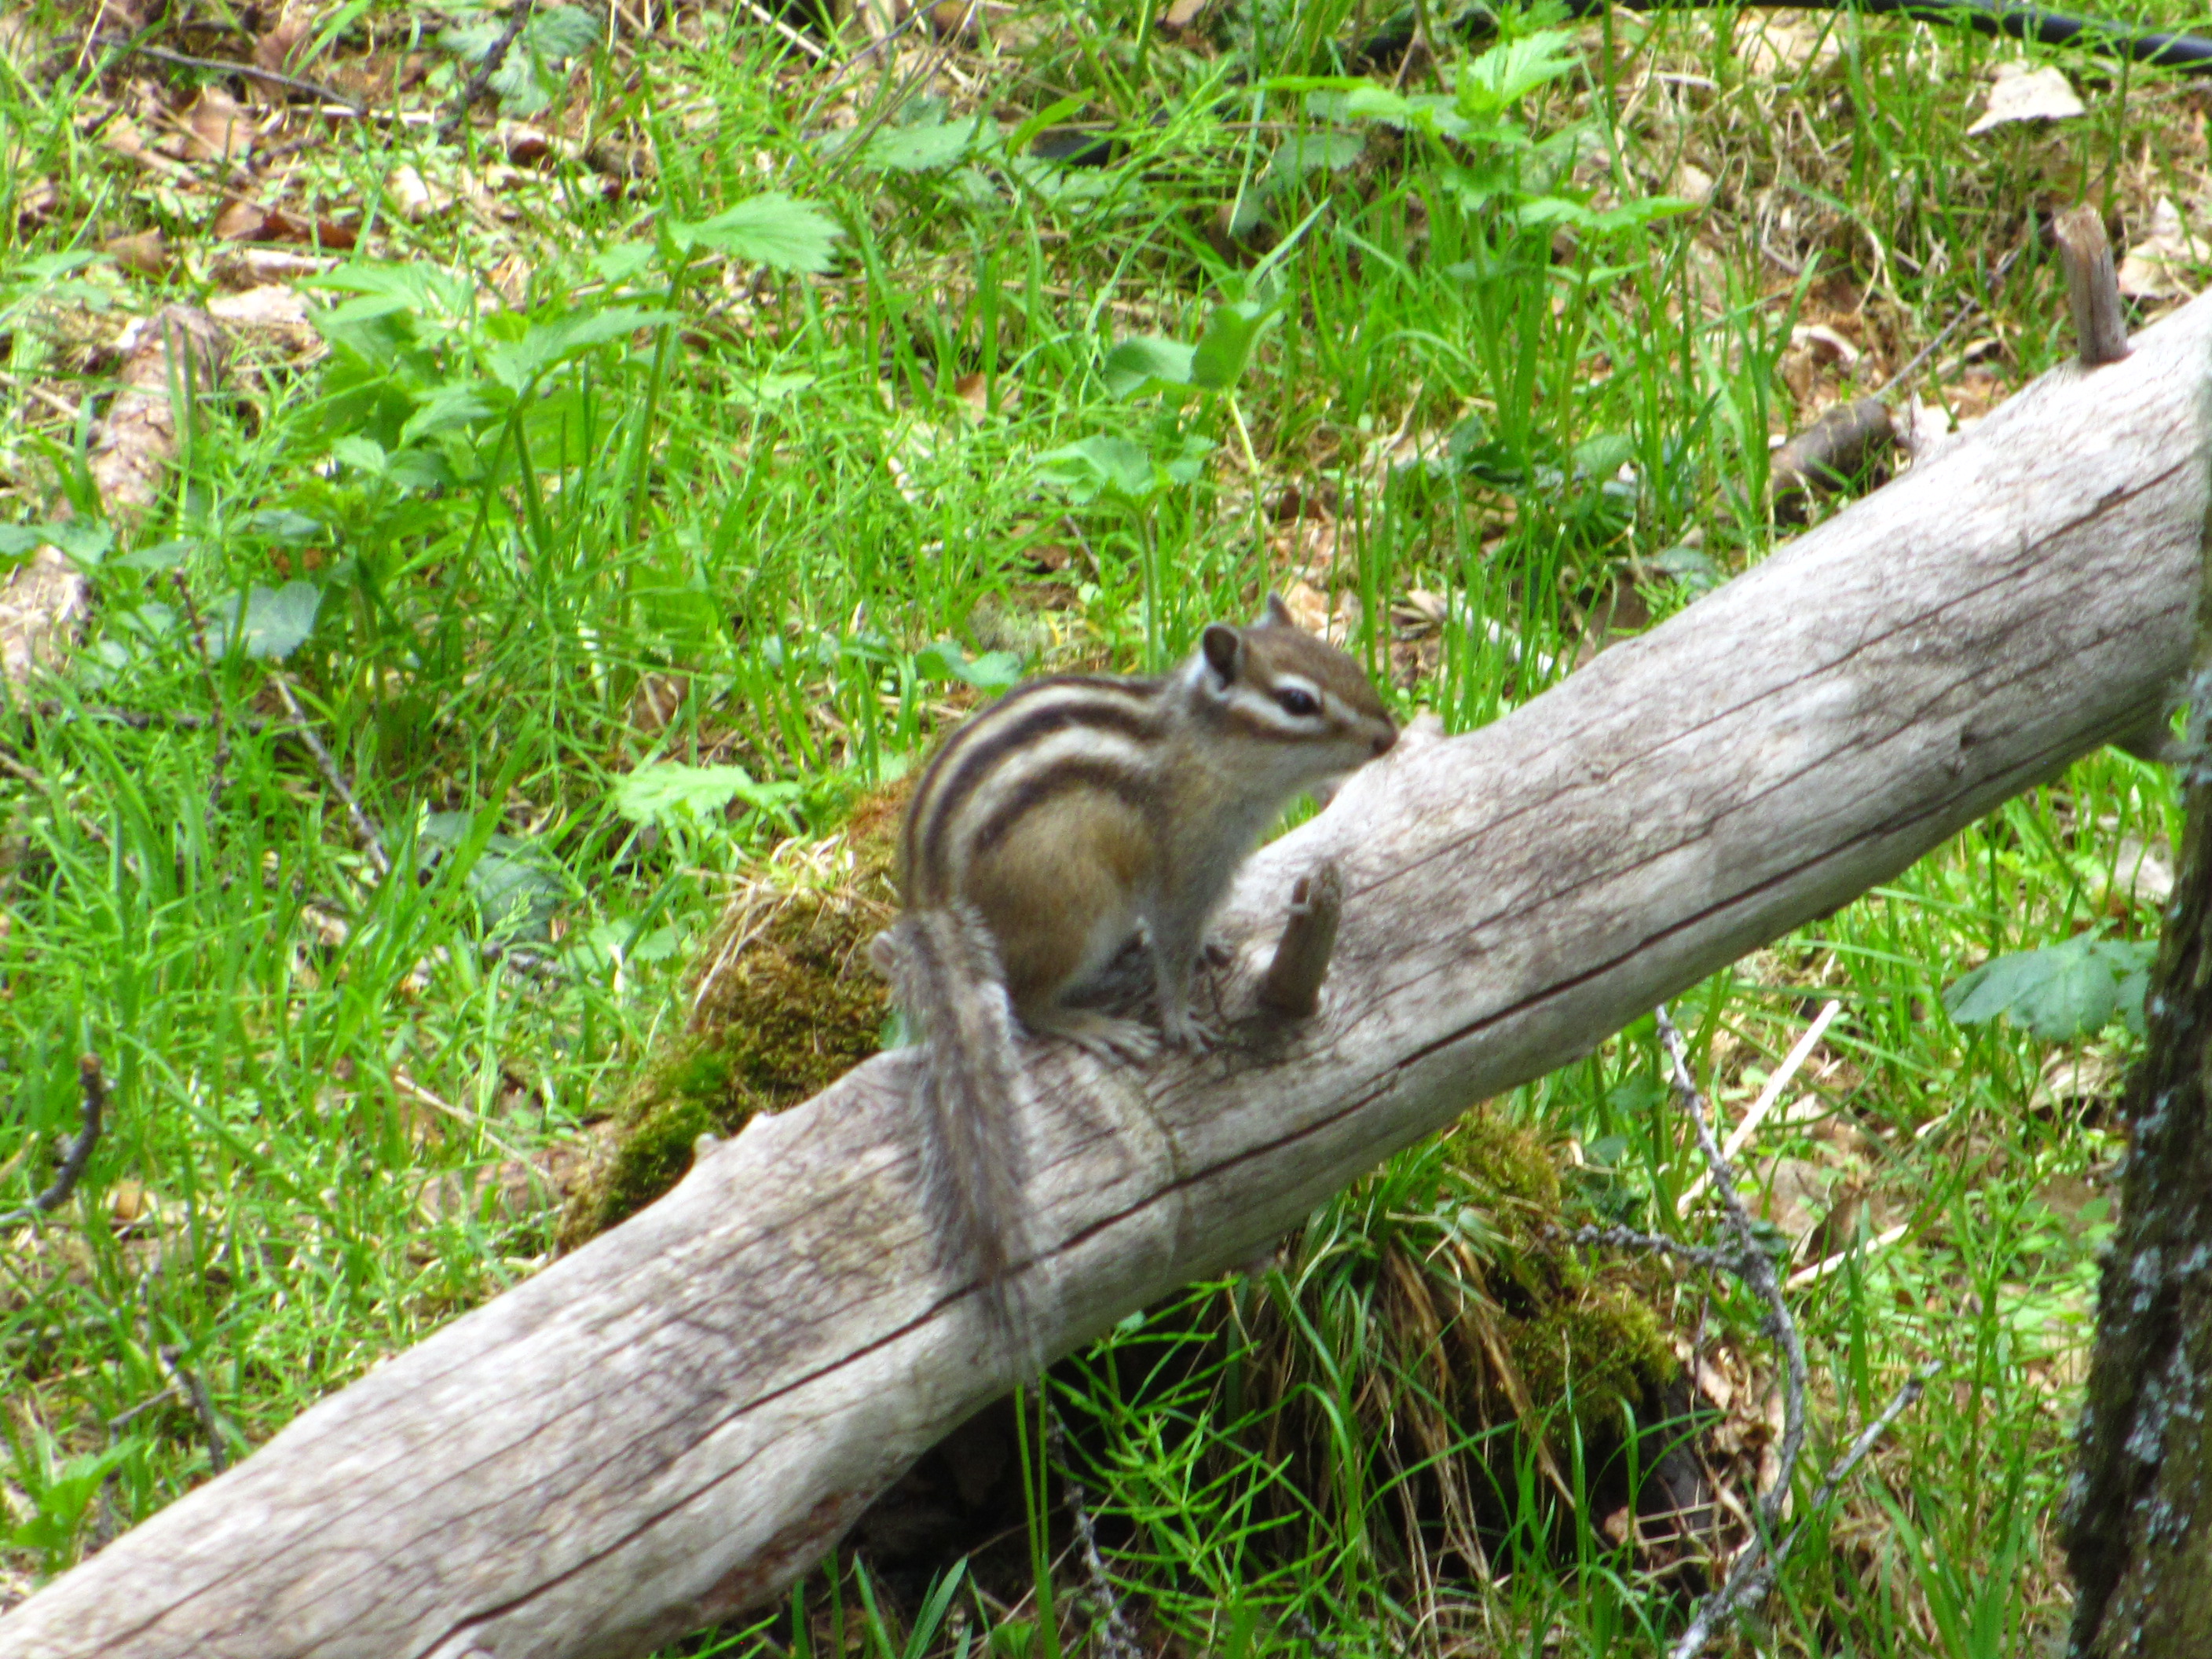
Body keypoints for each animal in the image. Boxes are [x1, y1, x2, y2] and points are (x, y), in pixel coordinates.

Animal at [870, 594, 1398, 1365]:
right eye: (1298, 702)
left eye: (1349, 662)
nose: (1389, 736)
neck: (1202, 750)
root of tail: (932, 905)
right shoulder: (1187, 866)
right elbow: (1172, 946)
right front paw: (1180, 1018)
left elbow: (1189, 939)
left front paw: (1211, 948)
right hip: (1075, 905)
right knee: (1026, 1002)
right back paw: (1093, 1025)